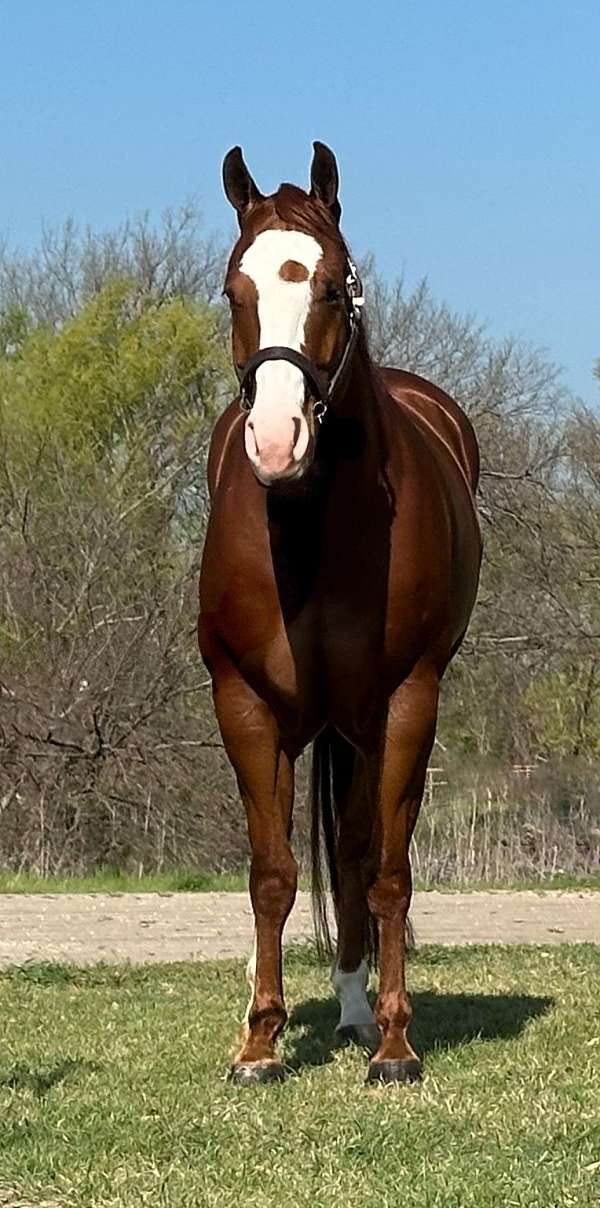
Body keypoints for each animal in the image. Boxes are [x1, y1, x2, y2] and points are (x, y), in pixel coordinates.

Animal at [198, 142, 482, 1085]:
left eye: (331, 285)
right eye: (234, 291)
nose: (277, 440)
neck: (312, 523)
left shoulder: (403, 705)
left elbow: (386, 871)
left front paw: (395, 1045)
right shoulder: (245, 705)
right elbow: (272, 873)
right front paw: (258, 1041)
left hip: (365, 724)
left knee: (360, 853)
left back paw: (364, 1016)